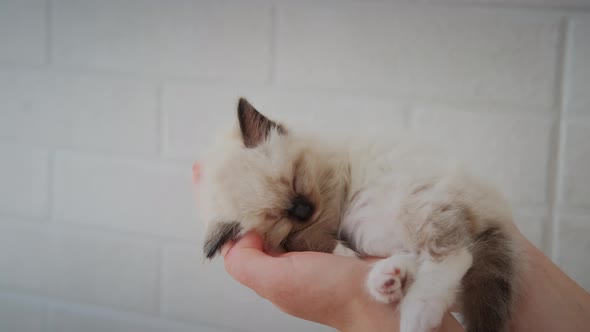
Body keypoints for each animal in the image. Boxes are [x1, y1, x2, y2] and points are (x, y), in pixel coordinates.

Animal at [198, 97, 524, 332]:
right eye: (279, 216)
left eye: (295, 179)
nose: (305, 210)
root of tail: (494, 210)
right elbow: (301, 240)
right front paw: (344, 254)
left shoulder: (332, 200)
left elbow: (313, 238)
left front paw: (340, 251)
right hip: (375, 228)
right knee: (430, 256)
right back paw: (388, 281)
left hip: (397, 208)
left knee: (455, 255)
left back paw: (416, 315)